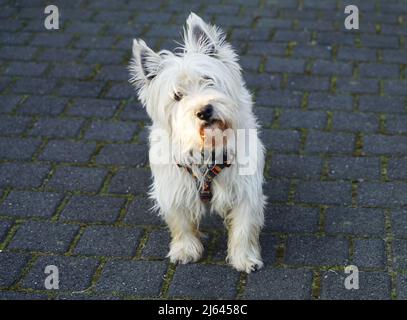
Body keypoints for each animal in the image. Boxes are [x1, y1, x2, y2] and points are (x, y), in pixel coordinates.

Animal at [129, 13, 266, 272]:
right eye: (177, 95)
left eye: (208, 80)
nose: (204, 110)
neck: (208, 149)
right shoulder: (173, 186)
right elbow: (181, 222)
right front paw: (185, 250)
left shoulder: (245, 188)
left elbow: (243, 227)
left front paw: (244, 258)